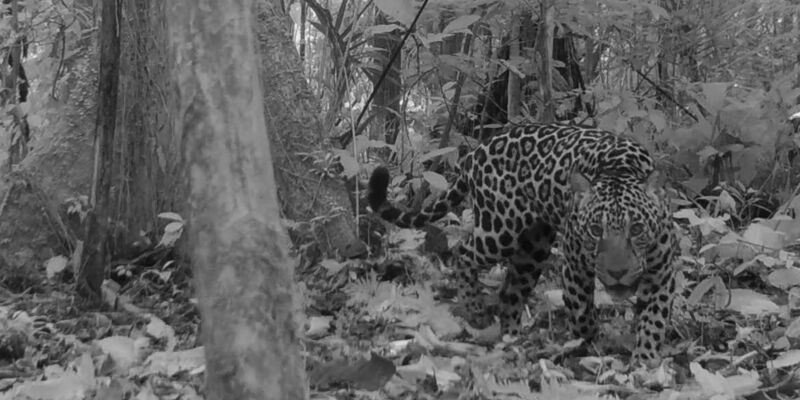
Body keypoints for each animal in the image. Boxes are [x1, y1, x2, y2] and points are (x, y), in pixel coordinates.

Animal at [367, 123, 677, 367]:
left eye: (636, 229)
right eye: (595, 230)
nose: (617, 273)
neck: (619, 170)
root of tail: (475, 152)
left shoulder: (661, 272)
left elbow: (654, 318)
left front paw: (646, 361)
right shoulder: (575, 266)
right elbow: (581, 311)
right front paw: (588, 343)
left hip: (533, 249)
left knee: (509, 293)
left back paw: (512, 339)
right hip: (499, 231)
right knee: (463, 251)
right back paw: (475, 309)